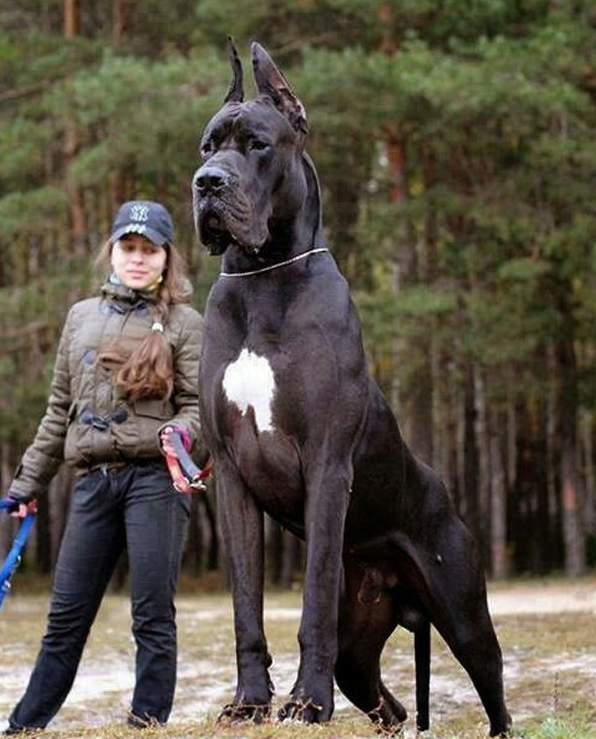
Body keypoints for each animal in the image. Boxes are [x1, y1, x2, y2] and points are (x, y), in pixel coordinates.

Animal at [193, 42, 510, 739]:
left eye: (257, 145)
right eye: (207, 147)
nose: (207, 184)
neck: (264, 278)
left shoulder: (327, 462)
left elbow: (311, 601)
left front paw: (305, 704)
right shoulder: (231, 476)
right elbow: (246, 605)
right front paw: (250, 702)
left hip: (464, 612)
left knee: (494, 689)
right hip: (361, 652)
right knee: (389, 703)